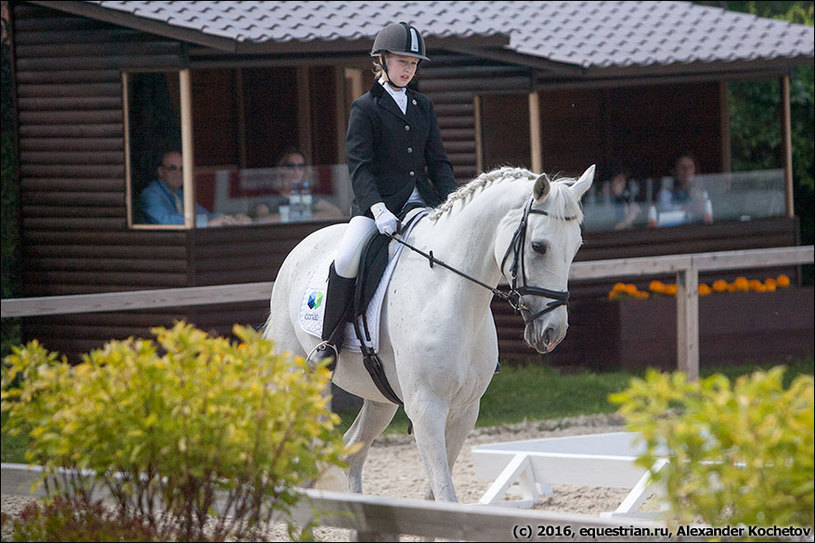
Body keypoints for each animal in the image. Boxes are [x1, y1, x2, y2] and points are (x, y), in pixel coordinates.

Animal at [264, 165, 596, 502]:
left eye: (577, 246)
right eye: (538, 246)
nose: (553, 330)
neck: (451, 293)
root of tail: (303, 245)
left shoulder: (465, 410)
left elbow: (436, 496)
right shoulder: (427, 408)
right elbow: (445, 490)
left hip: (380, 399)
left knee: (351, 450)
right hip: (300, 378)